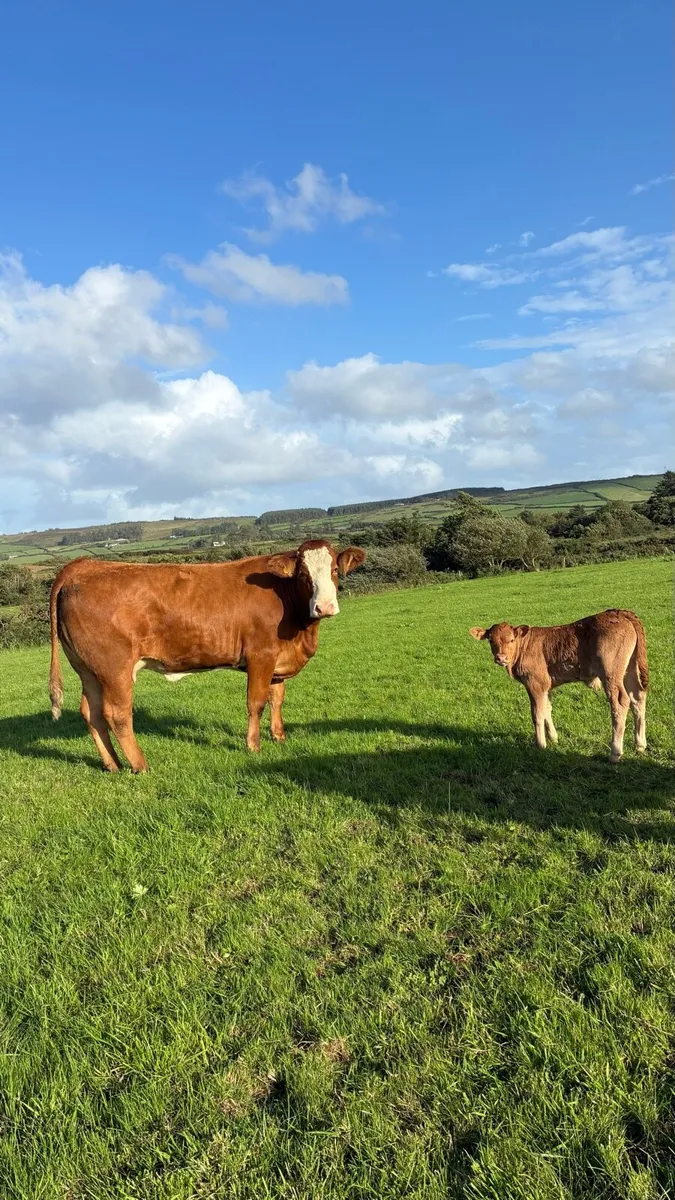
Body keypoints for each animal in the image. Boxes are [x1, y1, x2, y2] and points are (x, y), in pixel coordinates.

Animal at [48, 540, 366, 772]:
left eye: (334, 570)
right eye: (303, 574)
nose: (325, 607)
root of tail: (83, 566)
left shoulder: (278, 660)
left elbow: (277, 699)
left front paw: (279, 736)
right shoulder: (260, 655)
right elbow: (256, 703)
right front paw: (253, 746)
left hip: (88, 670)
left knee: (91, 714)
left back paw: (112, 764)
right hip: (115, 669)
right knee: (117, 714)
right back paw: (140, 765)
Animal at [469, 609, 648, 763]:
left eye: (511, 640)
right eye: (491, 640)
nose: (501, 657)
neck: (523, 648)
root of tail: (619, 612)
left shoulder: (535, 683)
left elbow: (537, 714)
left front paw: (540, 745)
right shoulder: (546, 686)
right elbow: (547, 709)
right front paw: (553, 738)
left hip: (611, 673)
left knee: (620, 702)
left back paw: (615, 753)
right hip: (630, 669)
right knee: (637, 698)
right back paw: (640, 745)